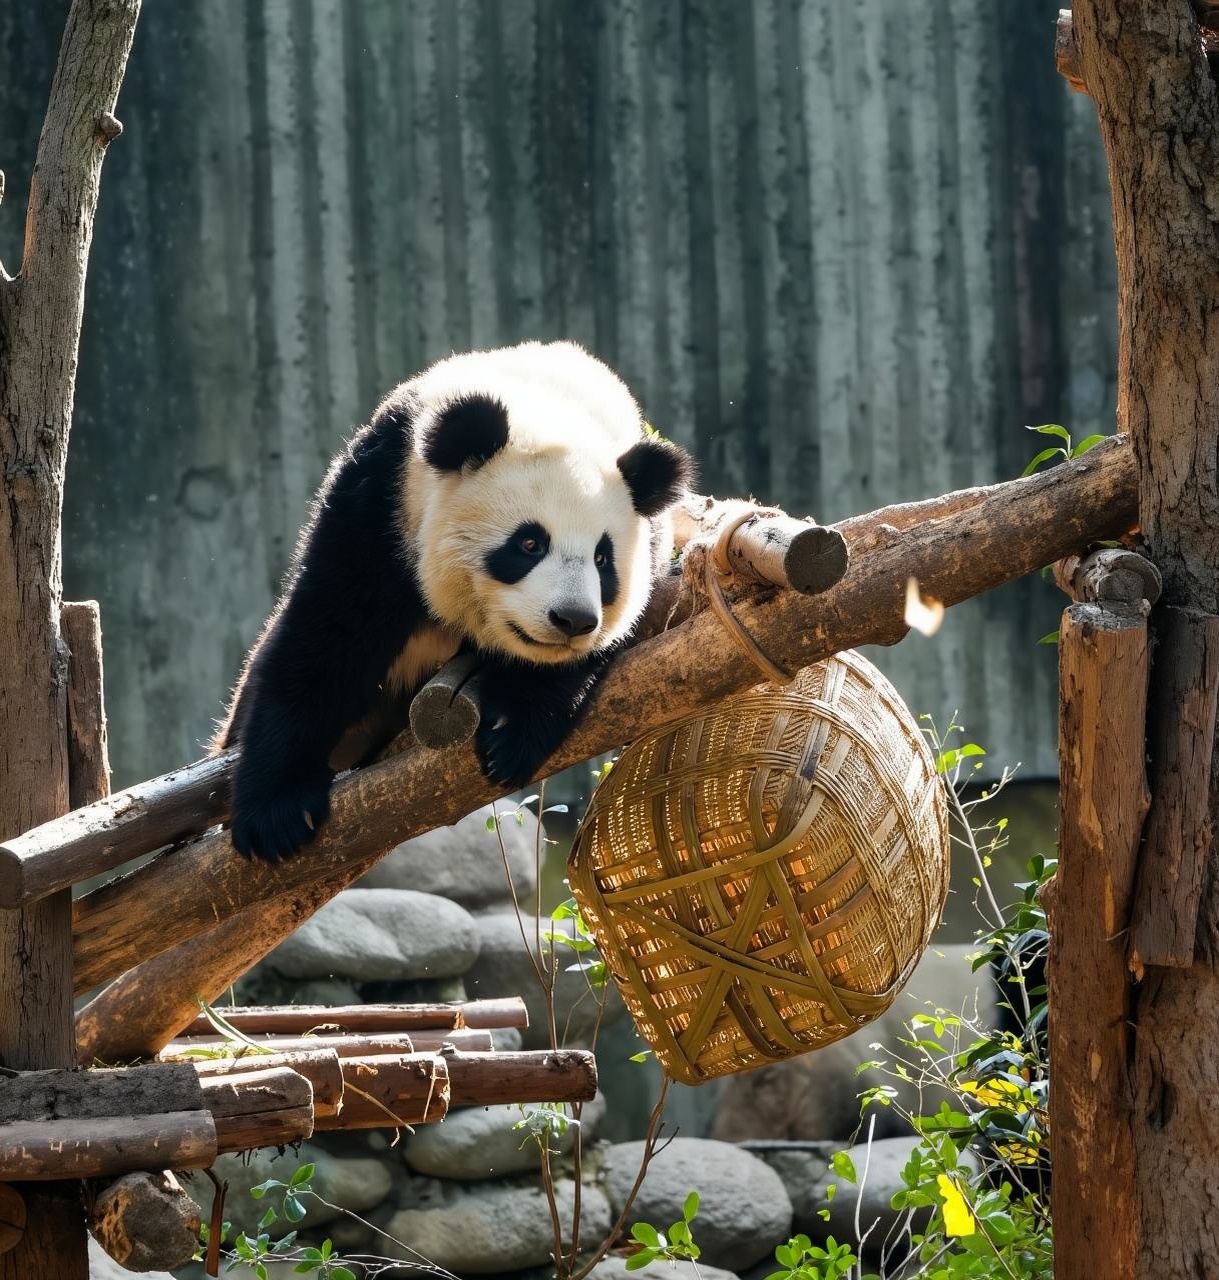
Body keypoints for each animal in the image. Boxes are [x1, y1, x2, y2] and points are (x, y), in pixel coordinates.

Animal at [217, 340, 695, 863]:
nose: (572, 619)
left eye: (603, 559)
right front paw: (276, 815)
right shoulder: (380, 500)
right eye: (529, 544)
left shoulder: (650, 541)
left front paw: (512, 728)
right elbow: (328, 634)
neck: (548, 400)